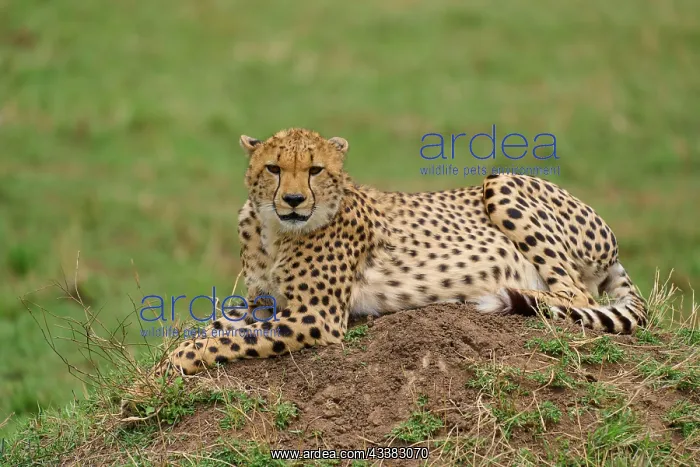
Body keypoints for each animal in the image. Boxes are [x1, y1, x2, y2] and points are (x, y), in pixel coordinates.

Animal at [161, 128, 647, 376]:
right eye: (274, 168)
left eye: (315, 169)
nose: (295, 201)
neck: (273, 230)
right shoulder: (264, 303)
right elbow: (212, 325)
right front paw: (165, 360)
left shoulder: (315, 318)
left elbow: (223, 340)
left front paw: (174, 365)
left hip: (501, 181)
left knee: (575, 297)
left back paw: (505, 296)